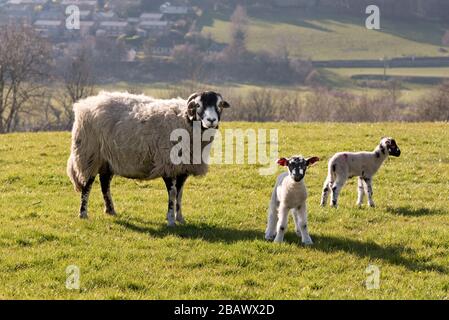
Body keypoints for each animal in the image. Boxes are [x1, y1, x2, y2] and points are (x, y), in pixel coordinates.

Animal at [66, 90, 231, 225]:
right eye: (198, 105)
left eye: (219, 105)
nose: (211, 120)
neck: (185, 121)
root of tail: (85, 104)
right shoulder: (167, 164)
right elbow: (172, 193)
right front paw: (170, 219)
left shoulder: (183, 167)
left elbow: (180, 194)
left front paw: (180, 218)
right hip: (90, 154)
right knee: (87, 184)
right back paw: (83, 213)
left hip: (107, 159)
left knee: (105, 183)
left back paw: (110, 210)